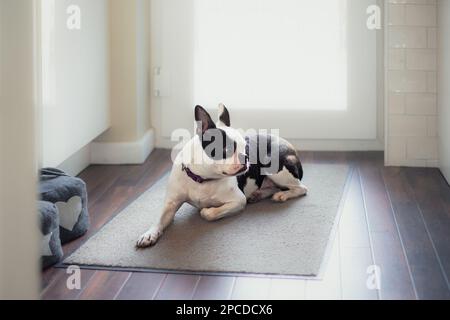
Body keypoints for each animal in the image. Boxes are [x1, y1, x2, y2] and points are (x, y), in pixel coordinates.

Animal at [135, 104, 308, 249]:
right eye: (226, 149)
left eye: (245, 147)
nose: (245, 157)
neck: (202, 178)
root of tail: (291, 147)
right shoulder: (170, 203)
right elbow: (159, 219)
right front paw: (149, 234)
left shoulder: (238, 200)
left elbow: (210, 213)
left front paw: (206, 210)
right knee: (273, 187)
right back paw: (258, 194)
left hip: (276, 168)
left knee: (301, 188)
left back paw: (282, 195)